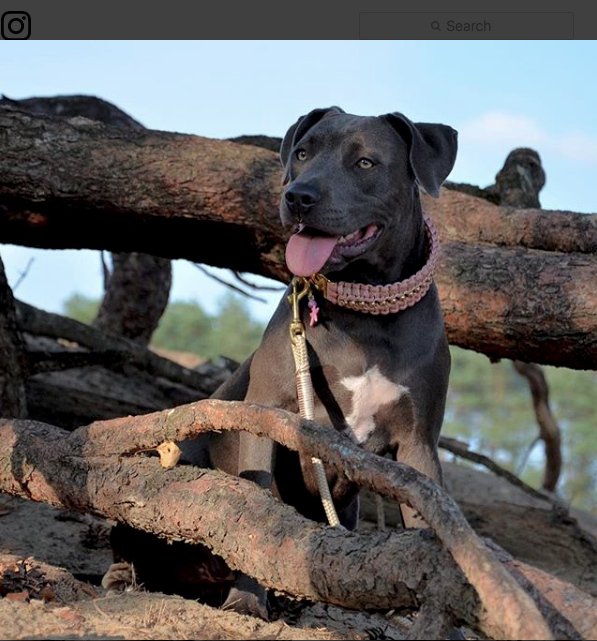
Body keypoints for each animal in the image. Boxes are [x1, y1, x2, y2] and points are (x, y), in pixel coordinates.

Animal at [110, 107, 456, 616]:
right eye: (303, 152)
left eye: (366, 163)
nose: (299, 196)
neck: (364, 313)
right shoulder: (267, 414)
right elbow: (255, 514)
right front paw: (247, 603)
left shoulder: (417, 445)